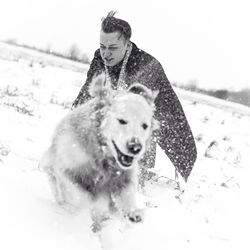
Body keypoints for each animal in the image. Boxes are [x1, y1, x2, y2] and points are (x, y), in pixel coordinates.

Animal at [40, 74, 159, 230]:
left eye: (145, 125)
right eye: (122, 120)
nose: (135, 147)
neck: (102, 155)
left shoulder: (123, 176)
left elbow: (126, 193)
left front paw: (134, 213)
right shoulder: (64, 167)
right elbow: (83, 196)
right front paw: (95, 208)